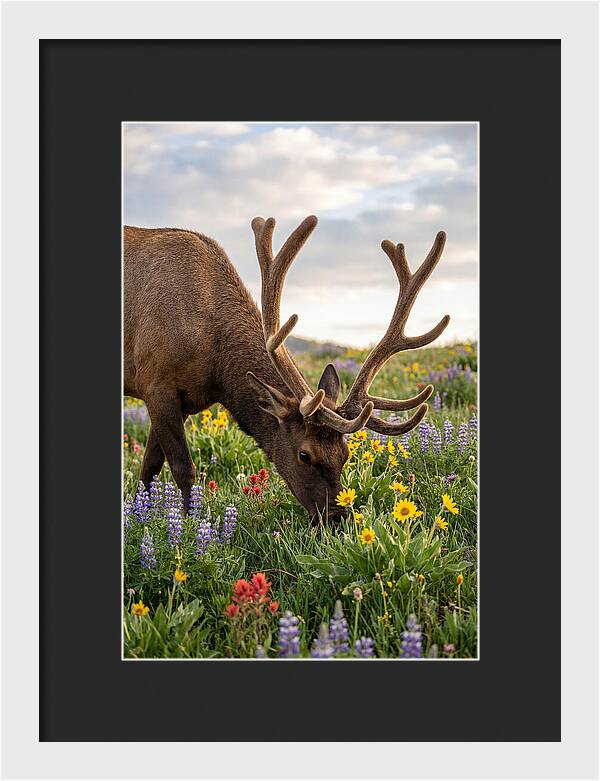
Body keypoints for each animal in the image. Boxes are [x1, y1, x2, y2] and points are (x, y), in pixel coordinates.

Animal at [124, 215, 450, 522]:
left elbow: (149, 467)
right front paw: (186, 524)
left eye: (345, 453)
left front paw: (141, 515)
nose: (336, 518)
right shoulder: (156, 383)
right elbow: (181, 468)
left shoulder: (184, 400)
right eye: (304, 455)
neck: (216, 367)